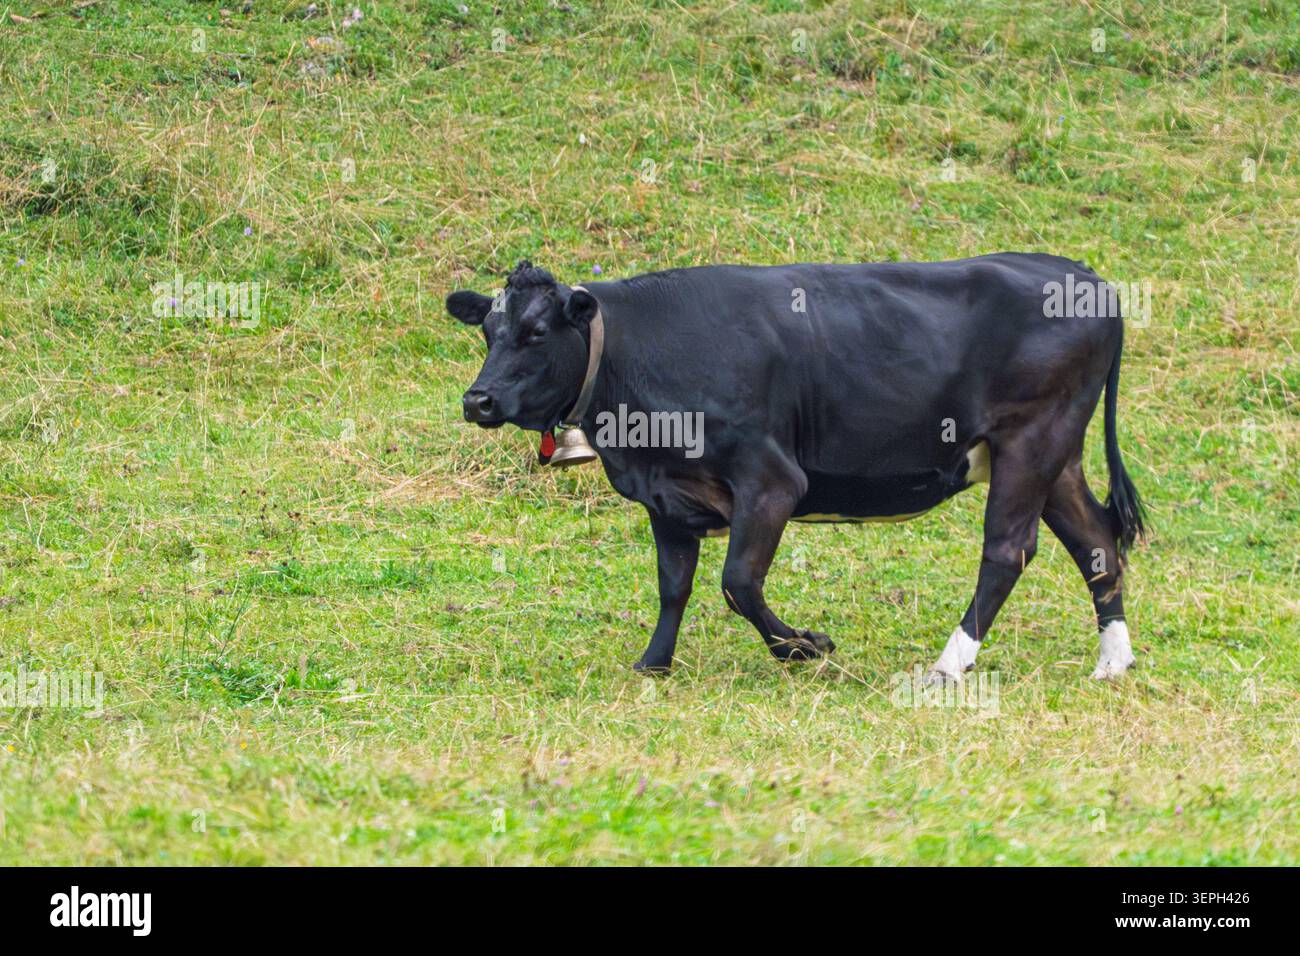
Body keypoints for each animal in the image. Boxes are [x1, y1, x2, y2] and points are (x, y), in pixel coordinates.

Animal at [446, 255, 1146, 683]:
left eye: (537, 333)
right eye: (488, 331)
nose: (477, 401)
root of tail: (1076, 272)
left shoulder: (771, 479)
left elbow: (738, 582)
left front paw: (804, 646)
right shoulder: (666, 497)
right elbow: (674, 586)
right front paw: (654, 662)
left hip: (1032, 438)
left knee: (1007, 549)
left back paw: (949, 666)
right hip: (1055, 455)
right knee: (1095, 539)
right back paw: (1113, 662)